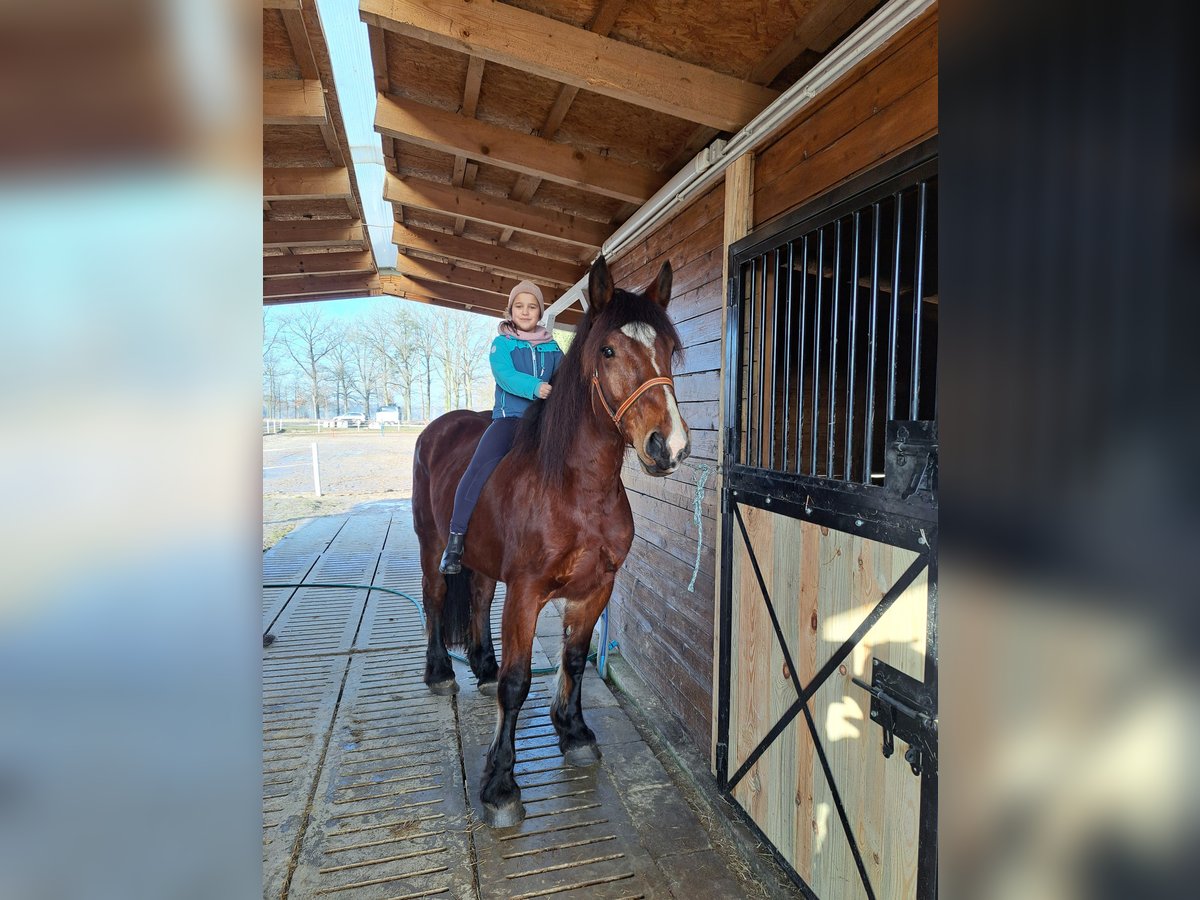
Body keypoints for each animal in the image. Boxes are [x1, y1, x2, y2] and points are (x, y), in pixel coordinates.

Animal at [412, 254, 691, 825]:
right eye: (608, 350)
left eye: (669, 349)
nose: (668, 446)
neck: (575, 489)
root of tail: (436, 428)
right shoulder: (526, 593)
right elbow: (519, 683)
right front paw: (500, 784)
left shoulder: (596, 588)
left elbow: (575, 659)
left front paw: (574, 732)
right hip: (432, 546)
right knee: (434, 599)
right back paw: (441, 673)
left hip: (482, 560)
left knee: (477, 599)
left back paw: (482, 666)